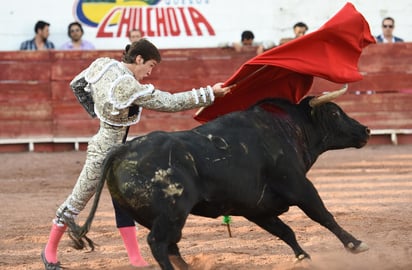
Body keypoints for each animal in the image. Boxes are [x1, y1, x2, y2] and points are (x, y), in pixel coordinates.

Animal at [67, 89, 370, 270]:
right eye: (335, 112)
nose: (366, 130)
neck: (287, 128)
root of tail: (121, 151)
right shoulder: (299, 186)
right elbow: (323, 215)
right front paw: (356, 244)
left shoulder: (256, 208)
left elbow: (285, 231)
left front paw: (303, 257)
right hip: (172, 212)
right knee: (158, 243)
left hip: (164, 217)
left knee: (171, 244)